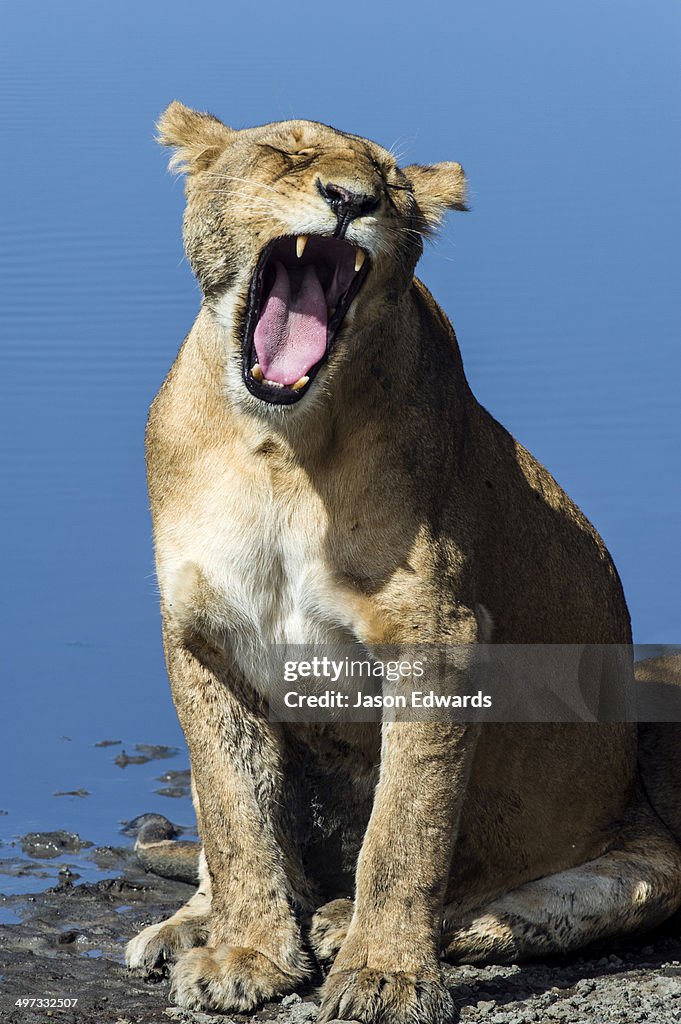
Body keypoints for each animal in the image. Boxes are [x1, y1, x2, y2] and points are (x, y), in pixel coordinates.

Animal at [126, 102, 681, 1023]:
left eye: (390, 184)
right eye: (287, 152)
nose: (350, 200)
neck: (275, 445)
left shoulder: (437, 635)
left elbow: (404, 829)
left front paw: (383, 973)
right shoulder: (202, 635)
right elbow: (235, 813)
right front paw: (245, 952)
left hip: (635, 853)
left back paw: (356, 922)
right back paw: (192, 927)